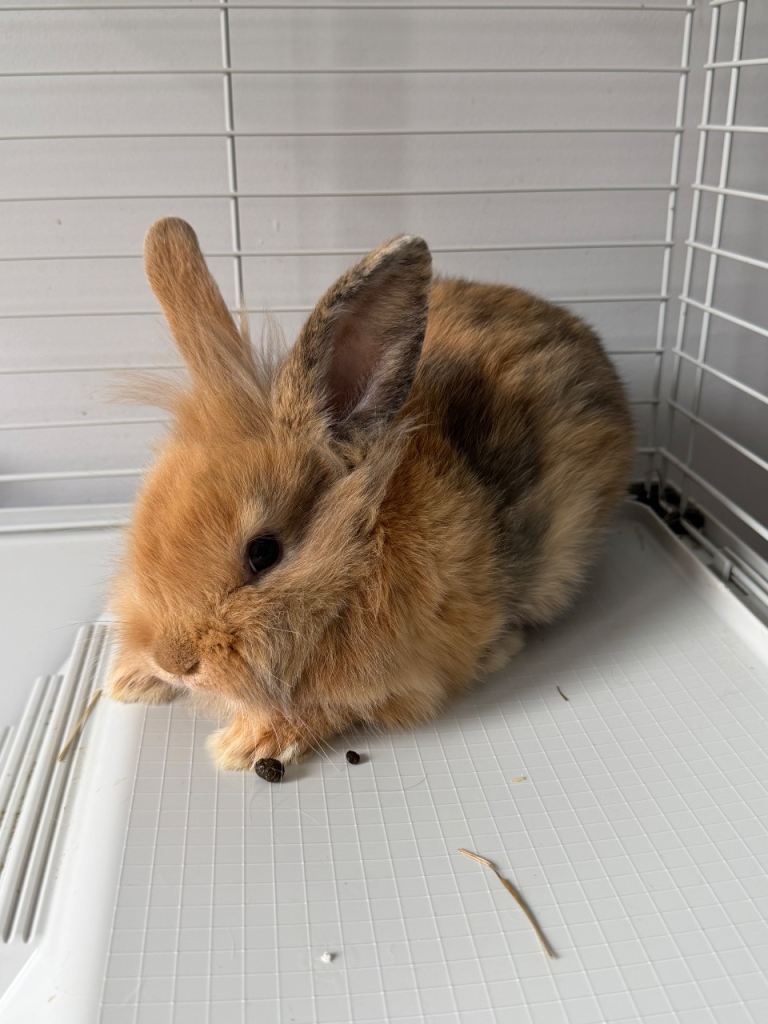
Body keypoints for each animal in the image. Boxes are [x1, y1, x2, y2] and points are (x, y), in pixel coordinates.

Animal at [108, 218, 633, 770]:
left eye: (263, 553)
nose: (175, 661)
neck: (362, 546)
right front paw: (132, 679)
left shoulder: (405, 684)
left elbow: (327, 710)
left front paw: (245, 742)